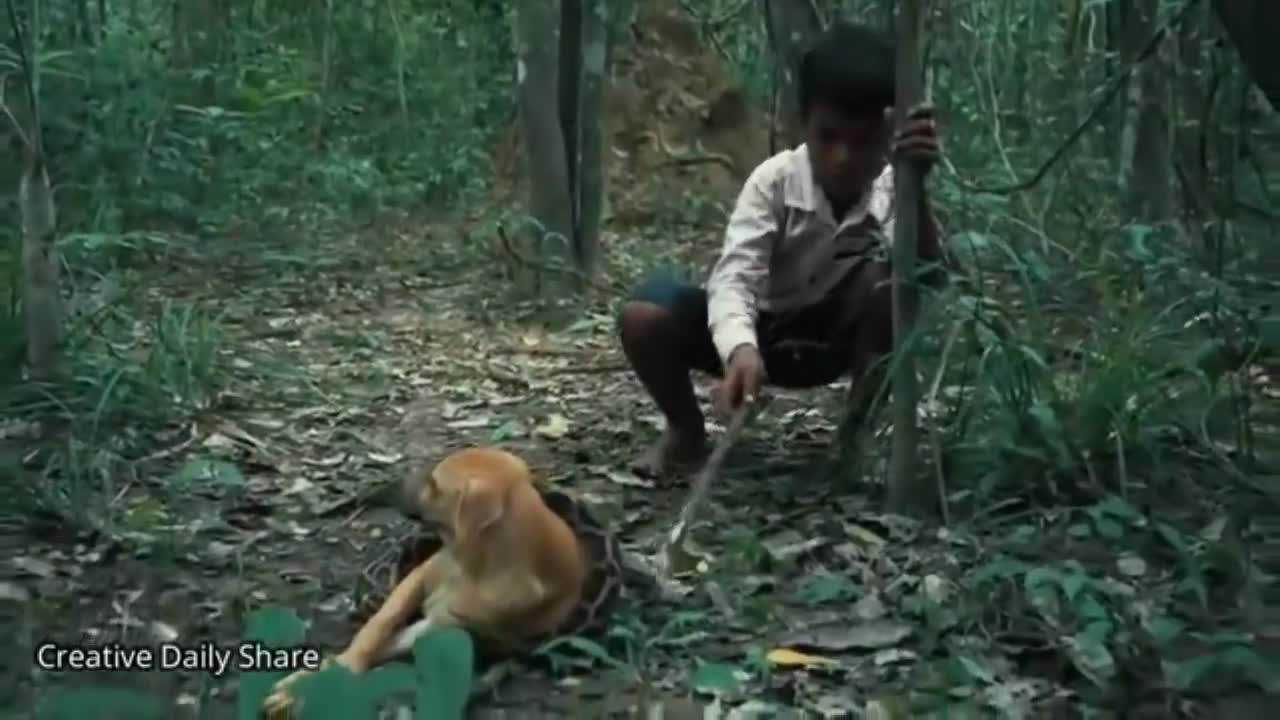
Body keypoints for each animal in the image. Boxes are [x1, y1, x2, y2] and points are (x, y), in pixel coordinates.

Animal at [268, 445, 593, 712]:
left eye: (435, 485)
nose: (393, 485)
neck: (474, 566)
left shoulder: (440, 623)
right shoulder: (419, 576)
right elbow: (377, 628)